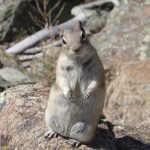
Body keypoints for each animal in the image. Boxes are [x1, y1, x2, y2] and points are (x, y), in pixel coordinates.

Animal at [44, 20, 105, 148]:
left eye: (83, 35)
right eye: (63, 40)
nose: (76, 48)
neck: (77, 59)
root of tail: (66, 132)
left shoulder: (98, 69)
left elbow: (95, 82)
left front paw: (87, 93)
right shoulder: (60, 69)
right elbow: (63, 82)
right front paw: (69, 95)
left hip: (85, 128)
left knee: (82, 139)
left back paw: (74, 141)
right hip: (49, 117)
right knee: (54, 129)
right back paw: (50, 133)